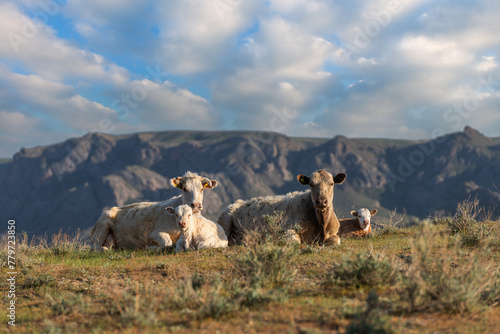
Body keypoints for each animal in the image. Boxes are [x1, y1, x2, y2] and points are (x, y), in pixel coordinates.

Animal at [90, 171, 219, 249]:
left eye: (202, 189)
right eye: (185, 189)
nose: (196, 205)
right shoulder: (155, 232)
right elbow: (167, 243)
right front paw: (152, 247)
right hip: (102, 226)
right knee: (97, 248)